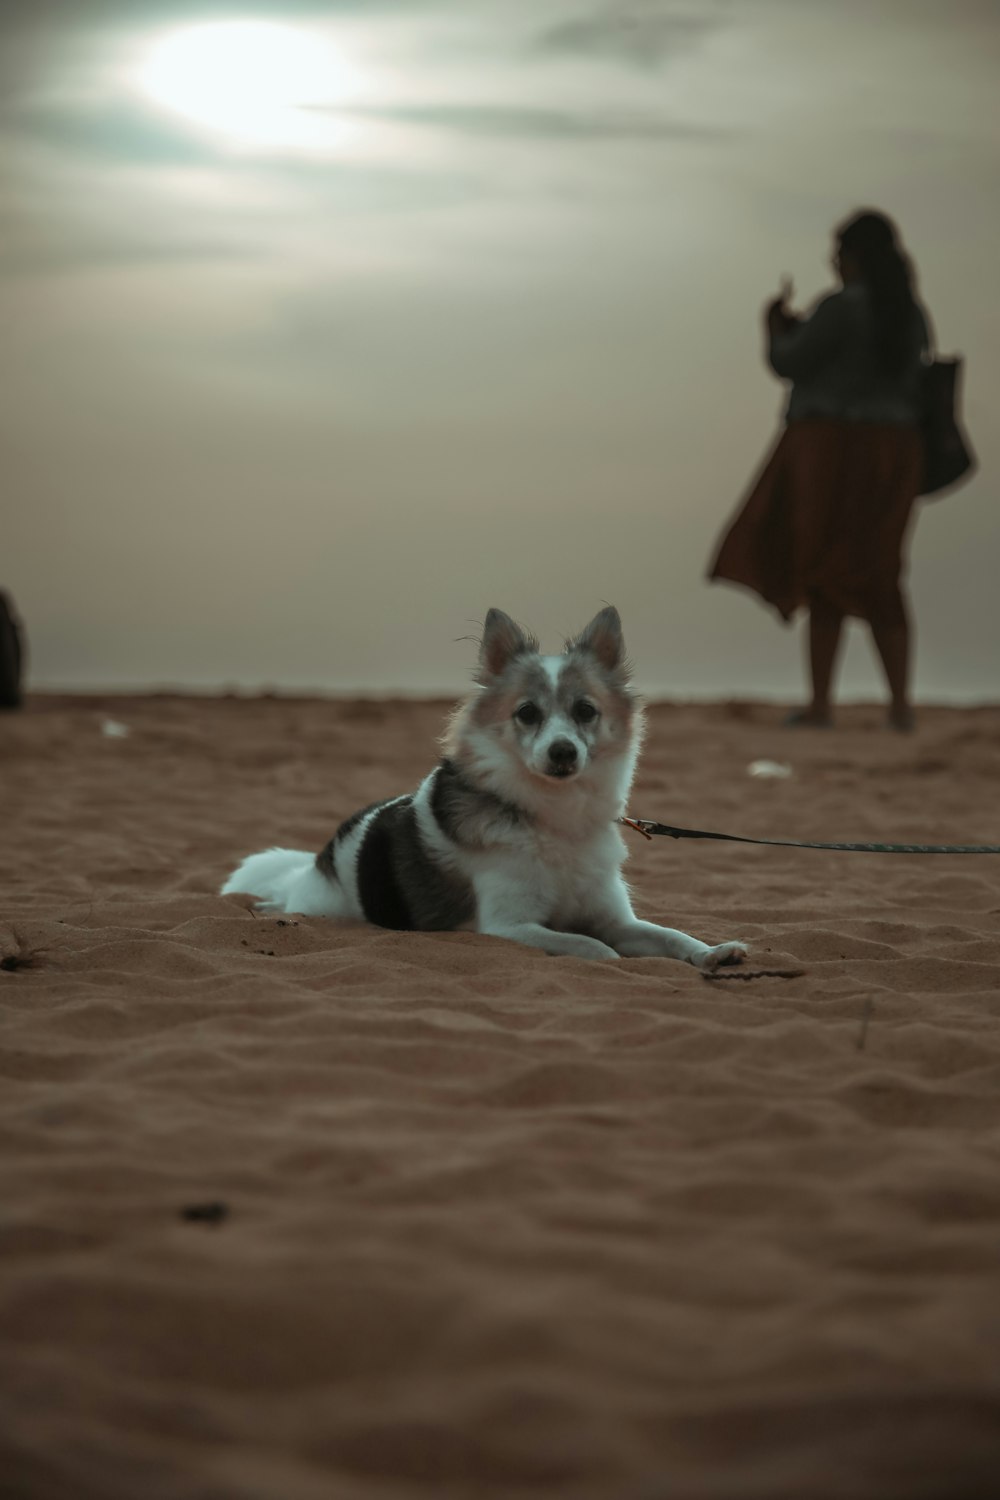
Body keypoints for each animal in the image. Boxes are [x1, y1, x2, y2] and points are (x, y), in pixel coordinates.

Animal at [223, 609, 746, 972]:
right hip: (321, 905)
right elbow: (592, 947)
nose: (563, 752)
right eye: (527, 713)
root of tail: (322, 860)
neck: (553, 816)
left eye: (585, 711)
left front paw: (712, 952)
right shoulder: (508, 925)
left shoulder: (615, 918)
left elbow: (669, 935)